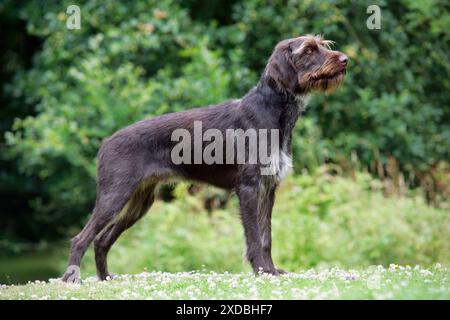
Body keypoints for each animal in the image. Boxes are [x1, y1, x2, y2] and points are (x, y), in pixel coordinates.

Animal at [61, 33, 348, 282]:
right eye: (309, 50)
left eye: (323, 45)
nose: (345, 59)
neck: (274, 112)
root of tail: (105, 143)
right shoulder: (249, 188)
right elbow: (255, 238)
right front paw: (262, 271)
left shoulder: (269, 188)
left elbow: (267, 236)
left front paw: (272, 270)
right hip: (114, 196)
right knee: (81, 238)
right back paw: (72, 278)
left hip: (139, 203)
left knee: (101, 240)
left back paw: (105, 277)